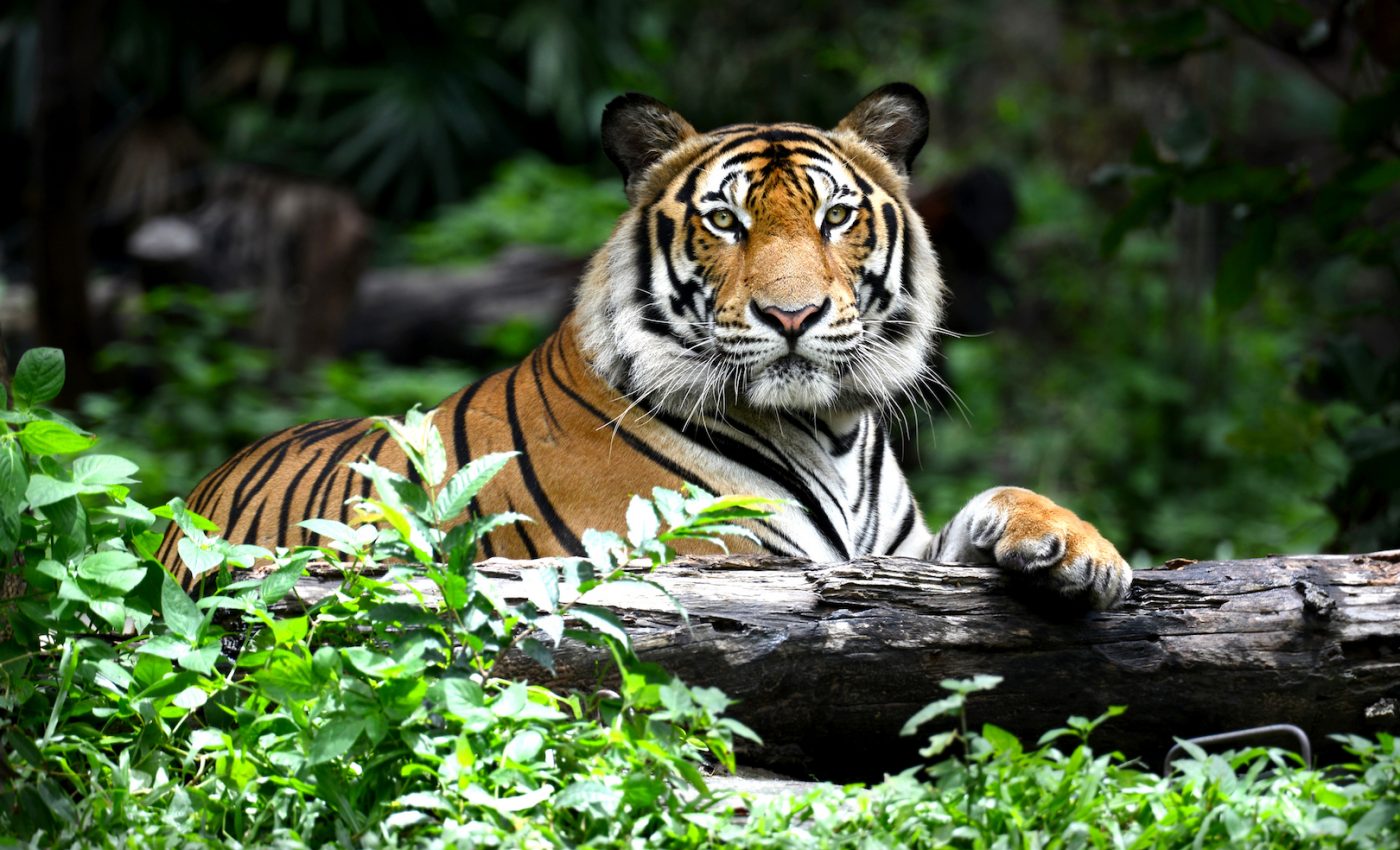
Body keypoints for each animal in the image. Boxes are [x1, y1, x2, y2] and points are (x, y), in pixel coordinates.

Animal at [158, 83, 1132, 609]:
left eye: (835, 217)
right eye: (725, 221)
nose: (792, 315)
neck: (830, 429)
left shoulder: (897, 556)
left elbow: (999, 499)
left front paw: (1080, 550)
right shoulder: (715, 561)